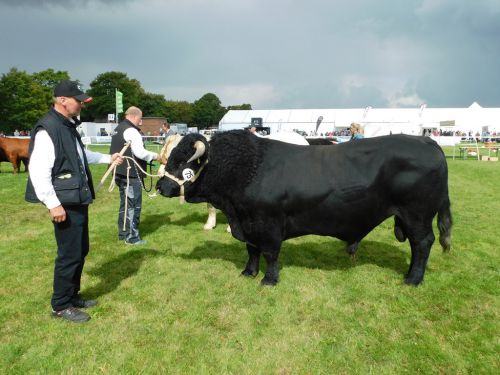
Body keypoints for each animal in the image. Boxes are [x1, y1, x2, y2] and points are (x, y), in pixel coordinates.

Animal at [157, 131, 454, 286]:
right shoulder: (249, 223)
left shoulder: (269, 224)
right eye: (169, 157)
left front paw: (269, 280)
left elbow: (270, 254)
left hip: (417, 216)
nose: (160, 186)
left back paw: (412, 279)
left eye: (182, 161)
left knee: (422, 243)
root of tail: (426, 141)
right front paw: (248, 273)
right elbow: (251, 250)